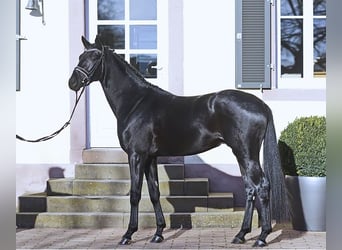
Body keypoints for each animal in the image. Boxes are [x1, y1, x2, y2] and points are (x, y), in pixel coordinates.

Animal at [69, 36, 288, 247]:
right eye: (80, 57)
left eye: (95, 57)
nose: (72, 82)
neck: (136, 103)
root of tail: (260, 104)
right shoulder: (150, 157)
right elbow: (154, 192)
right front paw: (158, 233)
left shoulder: (136, 155)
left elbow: (135, 194)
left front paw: (128, 234)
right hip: (241, 154)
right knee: (250, 189)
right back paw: (241, 235)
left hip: (246, 154)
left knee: (262, 187)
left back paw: (262, 237)